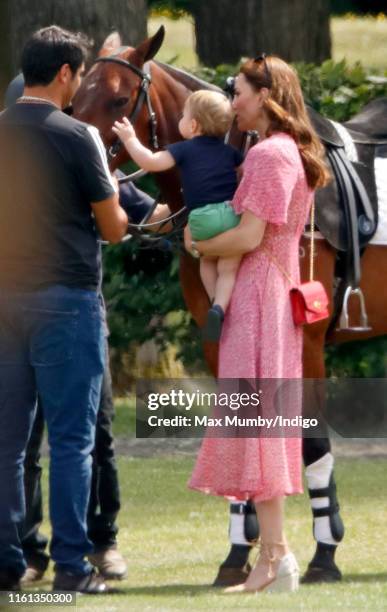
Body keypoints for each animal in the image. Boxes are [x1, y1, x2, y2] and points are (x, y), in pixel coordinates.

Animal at [72, 26, 384, 584]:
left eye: (117, 100)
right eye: (75, 96)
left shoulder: (305, 342)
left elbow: (313, 440)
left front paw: (324, 553)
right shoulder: (218, 337)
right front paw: (239, 551)